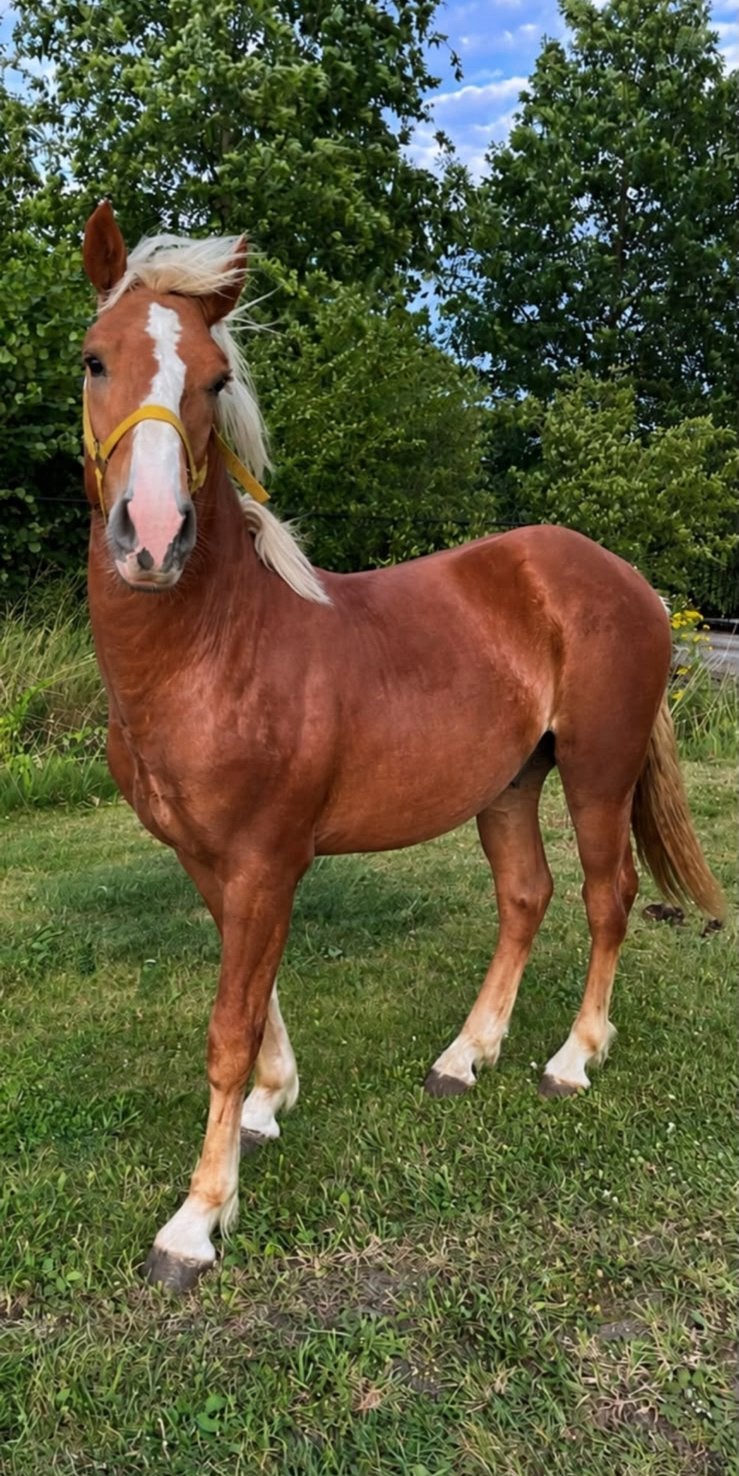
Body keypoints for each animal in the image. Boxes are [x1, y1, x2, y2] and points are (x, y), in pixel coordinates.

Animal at [80, 202, 724, 1290]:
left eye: (214, 380)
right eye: (93, 360)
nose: (153, 540)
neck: (215, 647)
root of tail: (623, 578)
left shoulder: (264, 861)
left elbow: (227, 1024)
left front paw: (197, 1221)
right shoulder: (213, 862)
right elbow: (257, 996)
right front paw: (268, 1107)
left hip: (596, 774)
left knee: (608, 899)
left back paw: (570, 1060)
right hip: (508, 784)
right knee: (525, 897)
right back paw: (466, 1056)